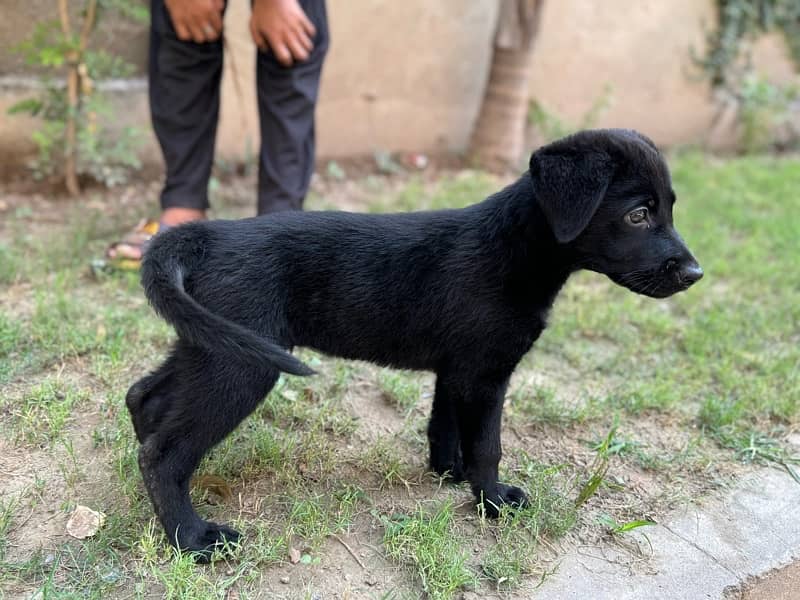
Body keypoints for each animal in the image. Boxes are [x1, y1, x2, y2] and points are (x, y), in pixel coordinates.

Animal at [125, 129, 700, 560]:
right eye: (638, 214)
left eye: (671, 208)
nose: (694, 274)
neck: (513, 248)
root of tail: (207, 236)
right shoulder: (486, 375)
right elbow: (488, 445)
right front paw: (493, 501)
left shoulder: (458, 370)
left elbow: (444, 425)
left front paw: (449, 473)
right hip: (241, 366)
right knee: (167, 452)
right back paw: (192, 538)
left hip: (214, 345)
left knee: (145, 397)